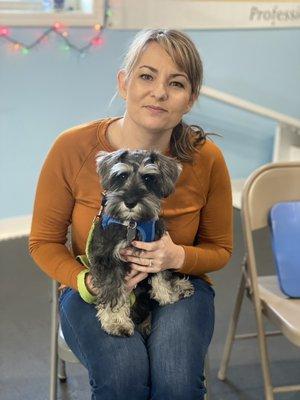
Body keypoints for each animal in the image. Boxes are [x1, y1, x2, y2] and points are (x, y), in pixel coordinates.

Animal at [87, 148, 195, 336]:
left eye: (148, 178)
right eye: (122, 176)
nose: (130, 202)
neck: (132, 224)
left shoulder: (157, 252)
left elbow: (160, 277)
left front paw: (167, 296)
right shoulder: (108, 260)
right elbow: (113, 291)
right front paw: (116, 322)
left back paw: (179, 286)